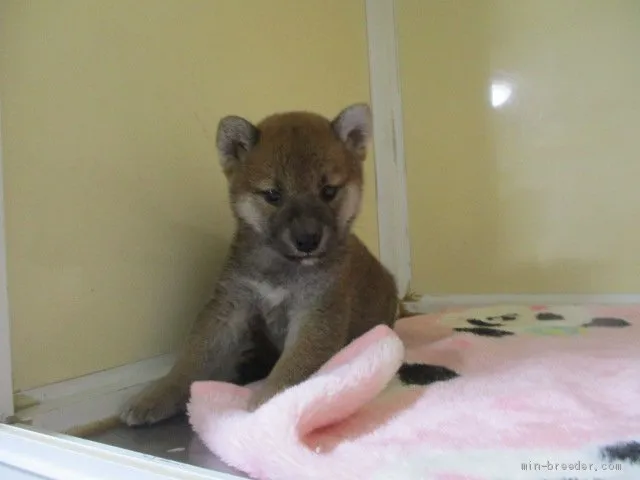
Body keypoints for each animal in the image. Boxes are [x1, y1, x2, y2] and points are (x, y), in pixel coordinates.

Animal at [120, 103, 398, 426]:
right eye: (273, 195)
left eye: (329, 191)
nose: (307, 240)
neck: (280, 268)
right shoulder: (230, 305)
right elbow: (192, 357)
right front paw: (155, 395)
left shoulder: (317, 311)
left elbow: (295, 364)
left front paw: (267, 401)